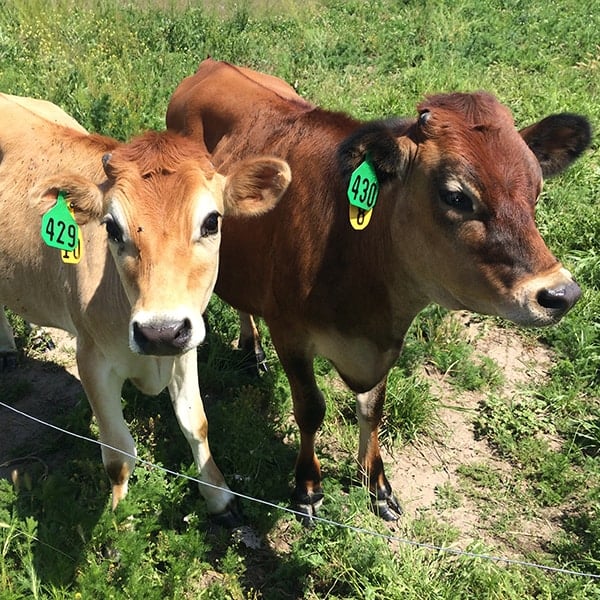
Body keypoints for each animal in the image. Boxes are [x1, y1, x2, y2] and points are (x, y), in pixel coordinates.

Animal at [0, 91, 290, 524]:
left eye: (211, 222)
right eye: (111, 227)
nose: (159, 331)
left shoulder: (185, 344)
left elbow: (195, 422)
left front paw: (220, 498)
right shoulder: (91, 361)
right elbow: (119, 454)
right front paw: (121, 520)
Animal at [166, 58, 592, 524]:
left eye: (537, 189)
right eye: (456, 196)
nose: (560, 294)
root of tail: (215, 65)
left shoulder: (385, 343)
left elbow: (373, 408)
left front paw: (377, 485)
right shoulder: (290, 333)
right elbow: (311, 408)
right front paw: (308, 488)